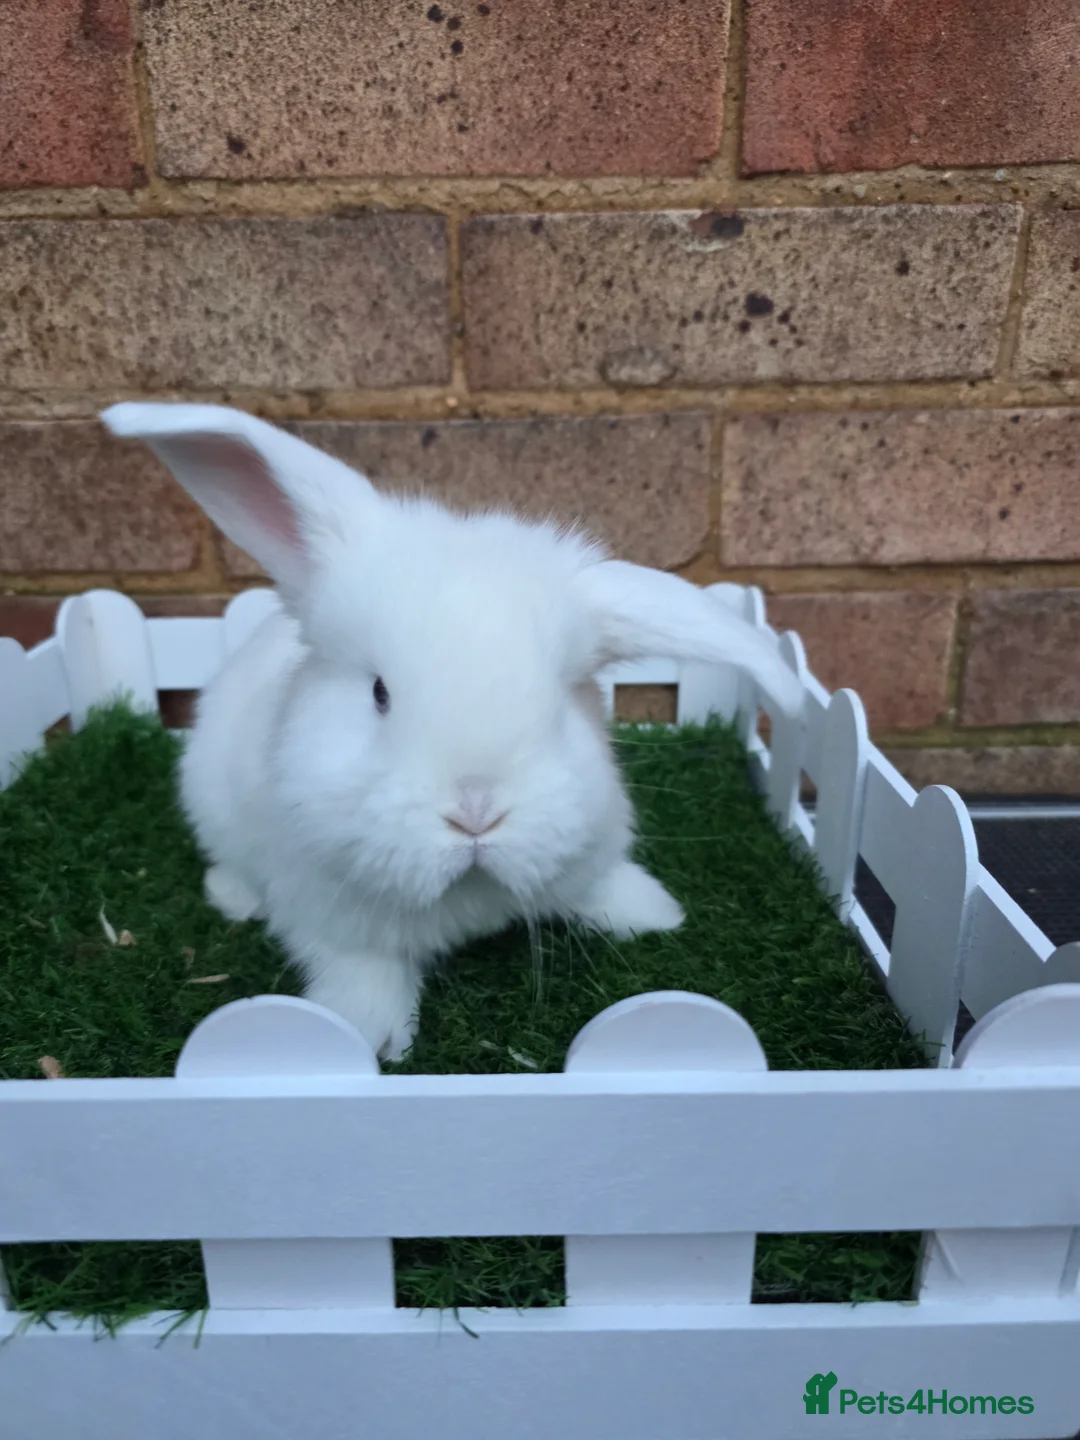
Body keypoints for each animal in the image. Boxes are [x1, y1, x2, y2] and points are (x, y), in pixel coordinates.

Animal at [101, 402, 804, 1062]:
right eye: (380, 693)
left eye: (561, 702)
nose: (476, 812)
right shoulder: (333, 919)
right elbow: (361, 974)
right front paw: (371, 1037)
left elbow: (601, 883)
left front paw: (654, 912)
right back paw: (235, 898)